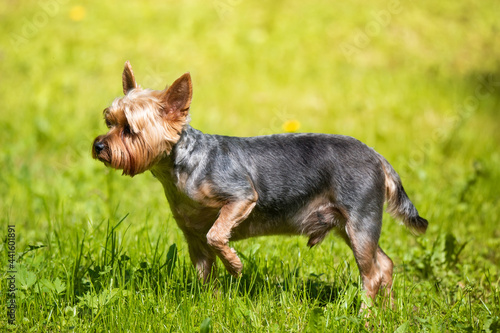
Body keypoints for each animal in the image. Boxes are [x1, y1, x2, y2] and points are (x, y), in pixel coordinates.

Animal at [92, 61, 428, 304]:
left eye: (129, 129)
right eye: (108, 122)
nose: (98, 145)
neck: (181, 165)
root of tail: (378, 157)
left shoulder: (241, 197)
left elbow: (217, 234)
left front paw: (235, 265)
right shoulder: (192, 236)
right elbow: (204, 273)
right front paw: (211, 304)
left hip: (360, 218)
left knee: (370, 275)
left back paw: (366, 315)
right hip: (349, 225)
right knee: (384, 265)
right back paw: (388, 311)